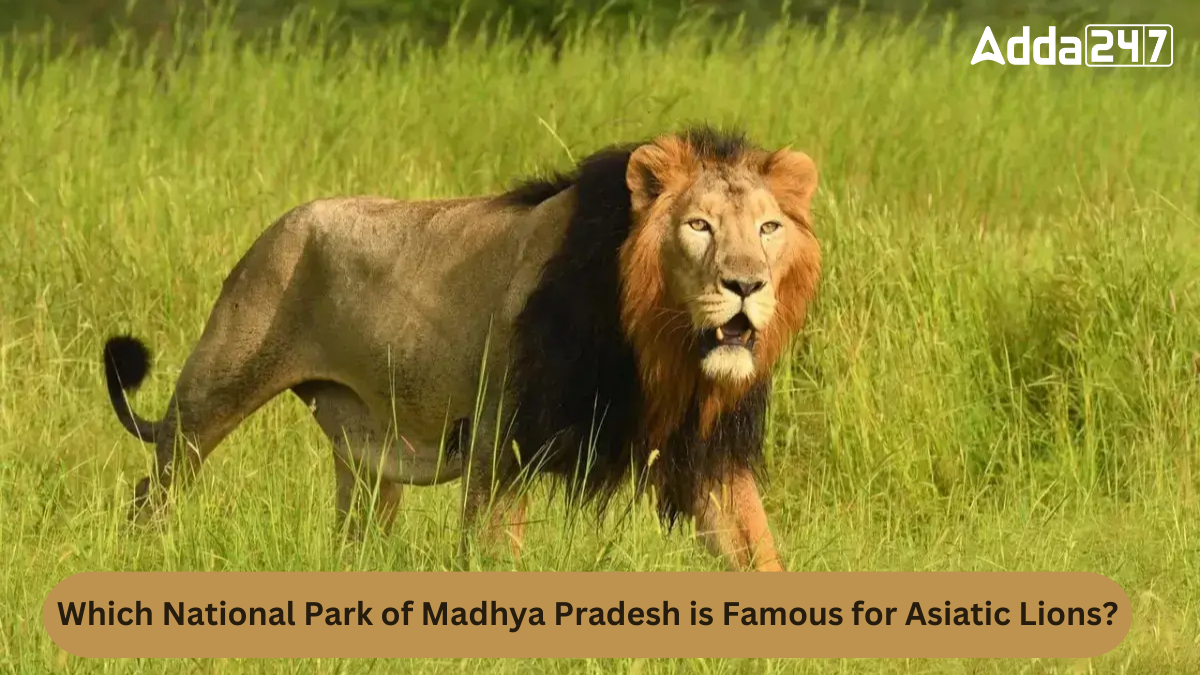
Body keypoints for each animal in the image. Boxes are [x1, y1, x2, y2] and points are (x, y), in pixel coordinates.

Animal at [102, 126, 821, 572]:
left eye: (768, 228)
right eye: (698, 226)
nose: (746, 285)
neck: (656, 344)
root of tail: (278, 224)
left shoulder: (708, 453)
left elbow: (757, 550)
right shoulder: (500, 444)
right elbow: (494, 552)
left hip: (366, 453)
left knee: (355, 529)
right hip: (212, 391)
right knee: (154, 486)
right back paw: (143, 555)